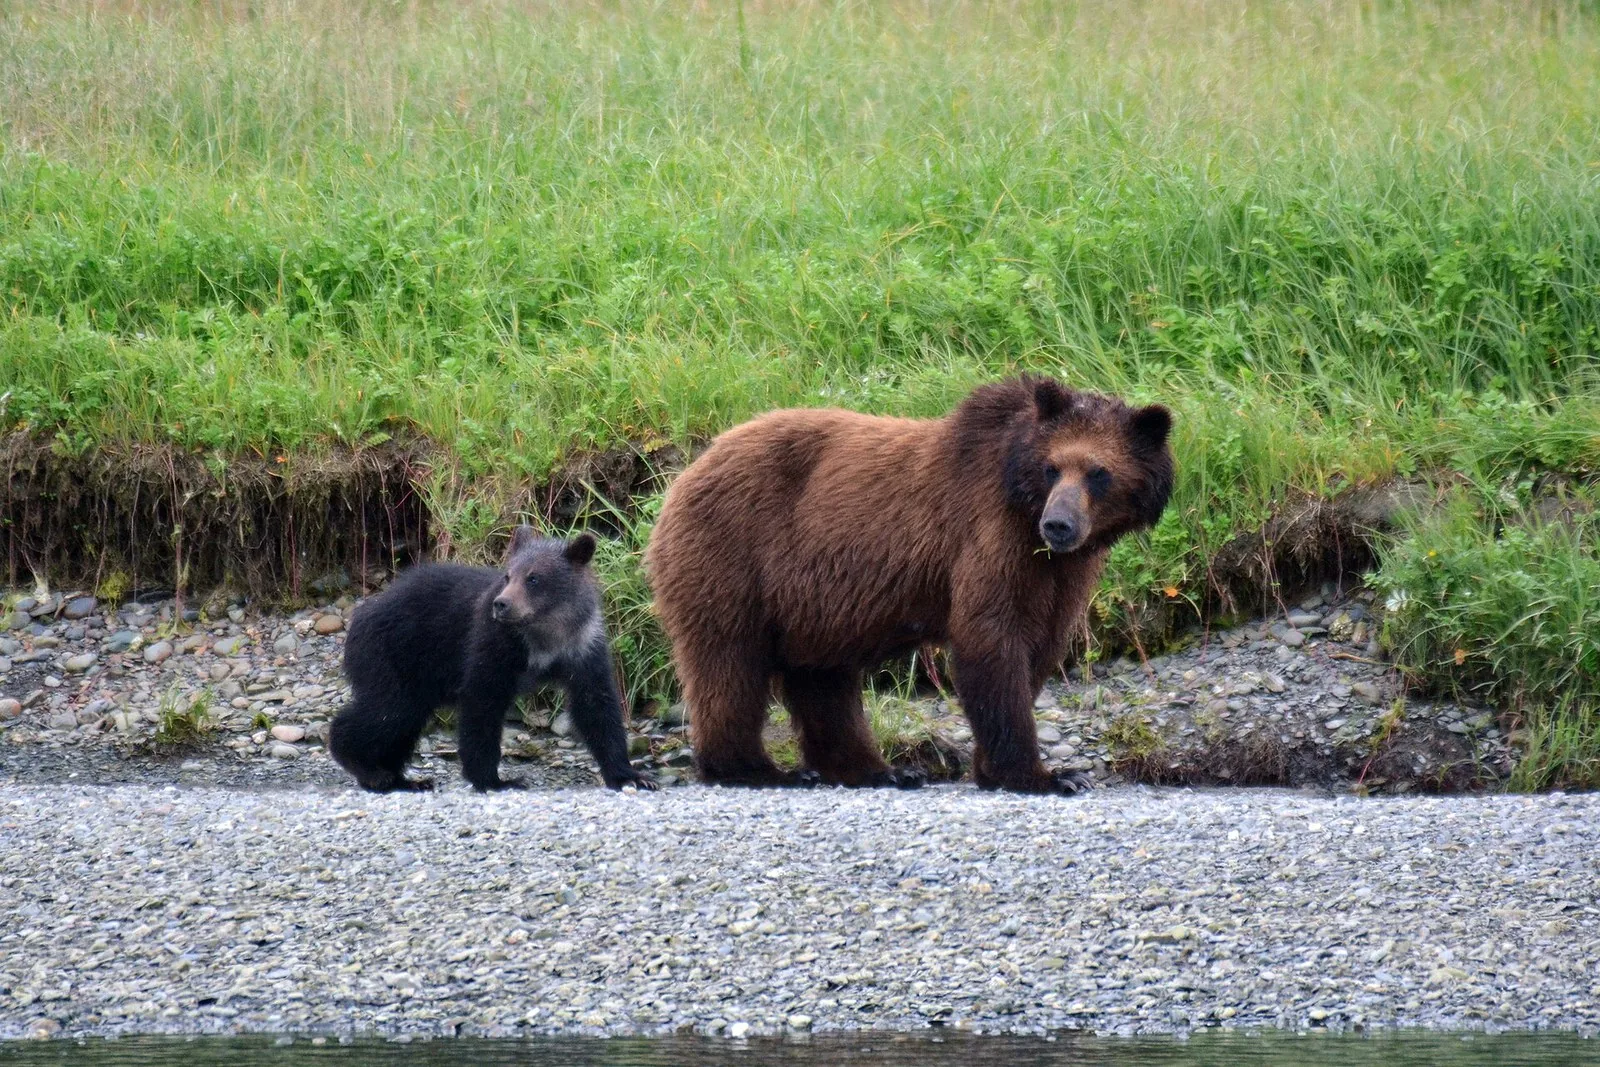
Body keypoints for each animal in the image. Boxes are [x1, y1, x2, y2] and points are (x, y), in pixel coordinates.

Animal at [328, 527, 655, 794]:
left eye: (534, 578)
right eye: (508, 575)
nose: (502, 604)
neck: (545, 633)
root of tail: (362, 612)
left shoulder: (583, 646)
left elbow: (597, 707)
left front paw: (632, 776)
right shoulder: (495, 644)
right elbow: (482, 701)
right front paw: (495, 779)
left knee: (403, 722)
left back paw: (403, 779)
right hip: (390, 655)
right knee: (388, 711)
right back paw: (368, 768)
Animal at [644, 374, 1173, 794]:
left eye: (1098, 472)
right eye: (1053, 467)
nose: (1058, 525)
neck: (1021, 501)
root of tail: (687, 471)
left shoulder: (1062, 572)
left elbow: (1040, 645)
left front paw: (1001, 768)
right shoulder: (990, 535)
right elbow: (992, 638)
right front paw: (1045, 775)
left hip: (812, 601)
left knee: (821, 677)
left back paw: (878, 770)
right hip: (734, 553)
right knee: (730, 661)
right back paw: (758, 769)